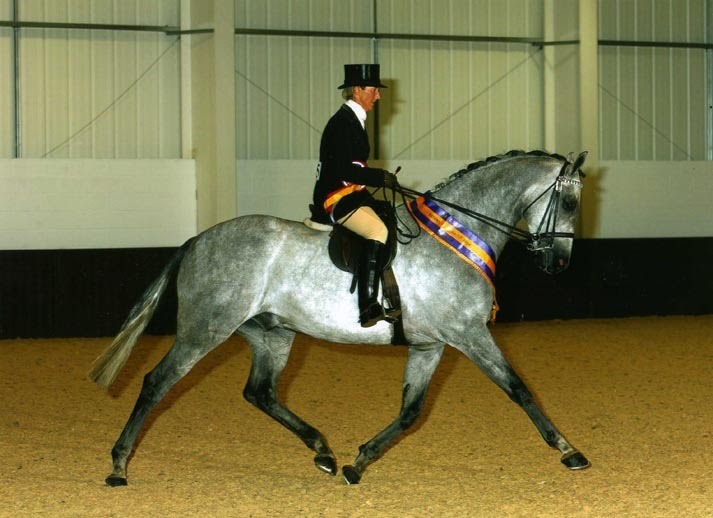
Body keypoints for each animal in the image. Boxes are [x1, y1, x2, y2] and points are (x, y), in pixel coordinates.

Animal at [90, 149, 591, 486]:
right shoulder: (469, 334)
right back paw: (118, 466)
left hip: (272, 334)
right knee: (157, 382)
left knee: (260, 393)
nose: (560, 264)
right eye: (569, 203)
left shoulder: (431, 344)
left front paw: (358, 462)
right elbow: (519, 389)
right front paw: (570, 451)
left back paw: (324, 453)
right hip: (206, 329)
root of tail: (196, 240)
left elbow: (411, 412)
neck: (457, 234)